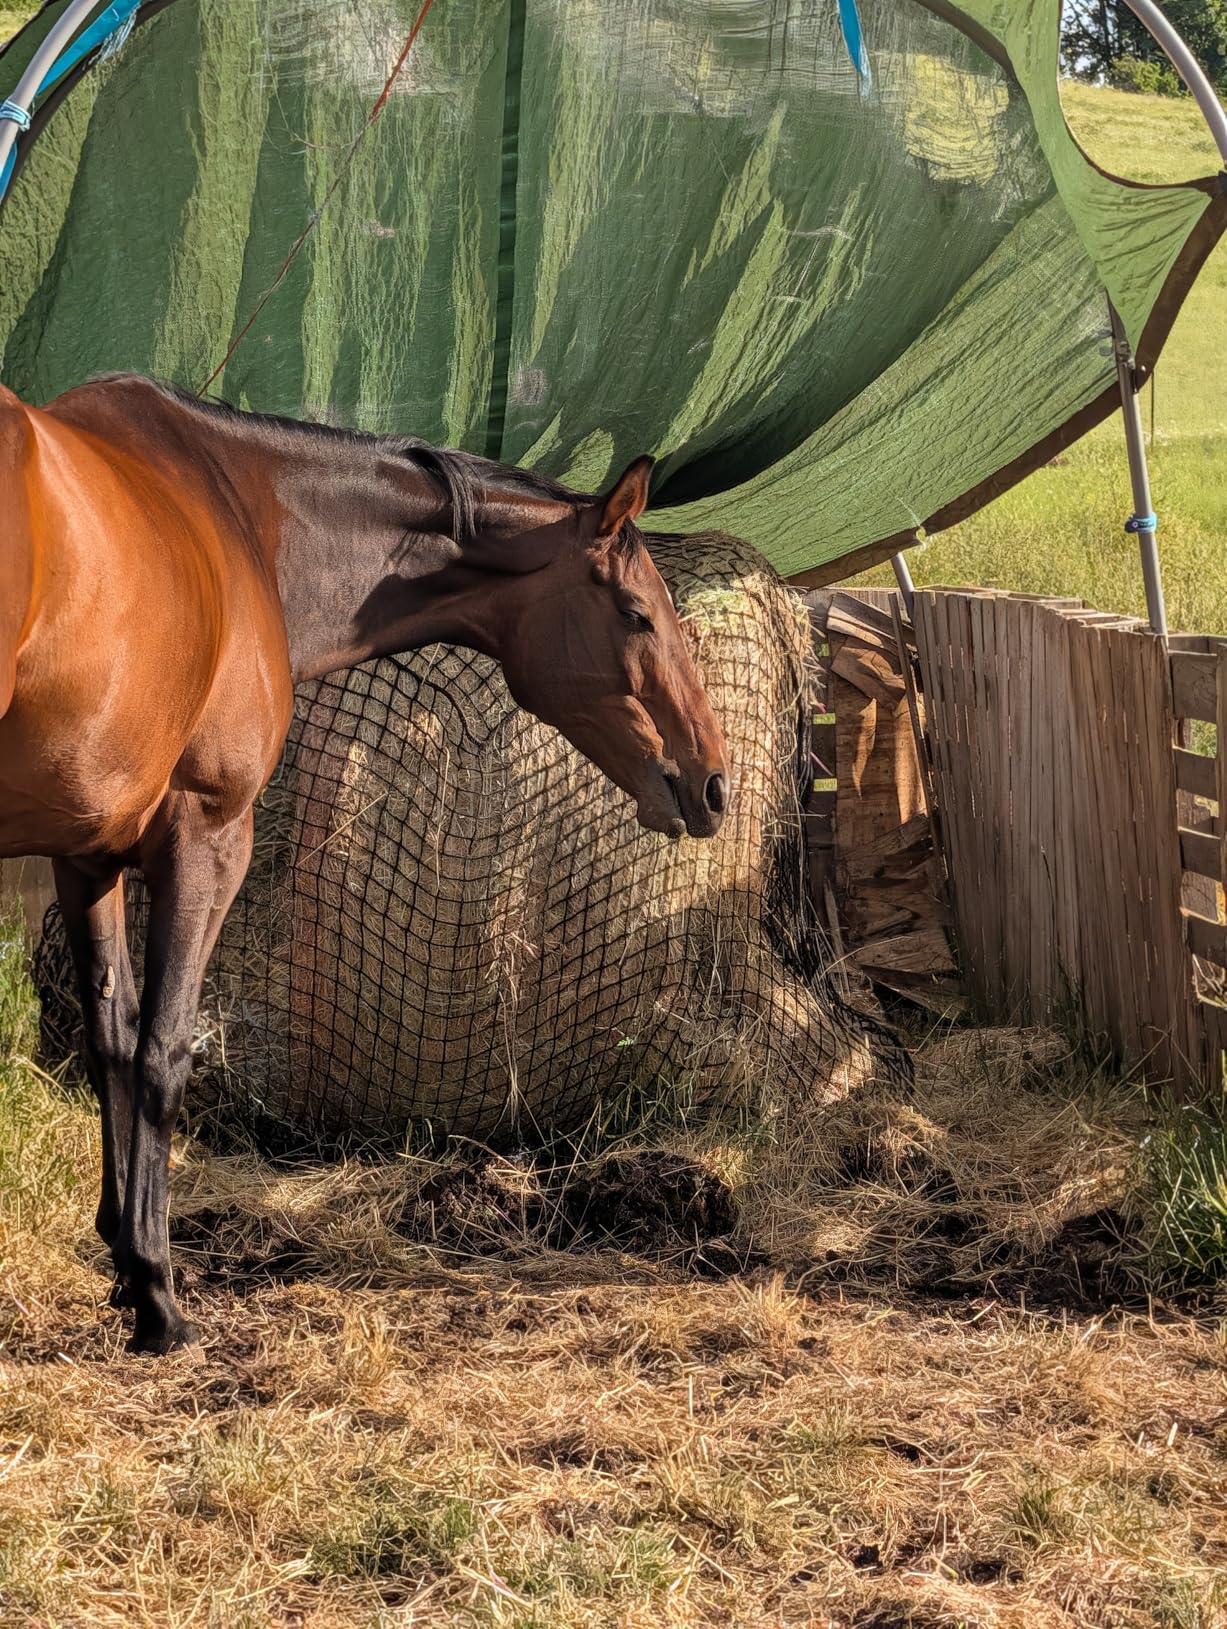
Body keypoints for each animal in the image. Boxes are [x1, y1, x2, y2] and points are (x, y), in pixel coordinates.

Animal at [0, 373, 730, 1354]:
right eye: (638, 614)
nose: (712, 780)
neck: (242, 515)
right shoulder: (207, 837)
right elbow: (163, 1053)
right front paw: (156, 1293)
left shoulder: (89, 856)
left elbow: (111, 1043)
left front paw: (123, 1258)